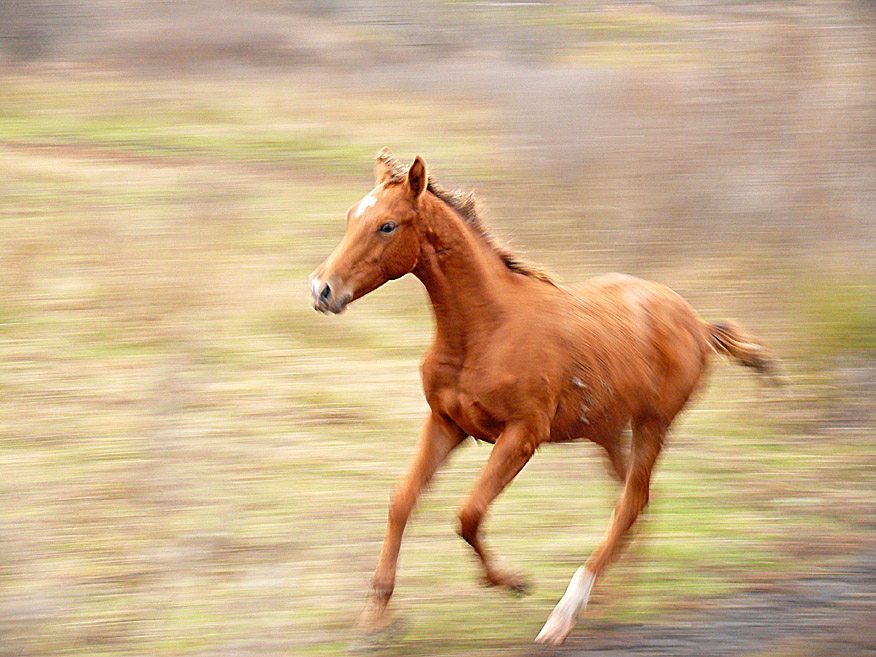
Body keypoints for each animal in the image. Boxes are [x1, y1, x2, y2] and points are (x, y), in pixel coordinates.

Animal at [310, 150, 780, 644]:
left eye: (387, 225)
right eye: (350, 216)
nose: (321, 289)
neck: (483, 331)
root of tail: (698, 325)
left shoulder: (523, 434)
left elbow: (469, 513)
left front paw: (514, 582)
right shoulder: (446, 423)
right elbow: (402, 500)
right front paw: (376, 619)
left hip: (653, 425)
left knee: (629, 504)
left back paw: (563, 616)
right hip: (608, 432)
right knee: (636, 502)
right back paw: (613, 602)